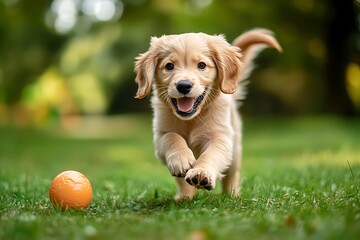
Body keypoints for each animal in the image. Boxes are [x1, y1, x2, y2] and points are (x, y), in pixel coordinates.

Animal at [134, 28, 282, 200]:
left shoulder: (221, 136)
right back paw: (184, 197)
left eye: (202, 65)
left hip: (235, 151)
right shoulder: (160, 134)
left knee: (231, 175)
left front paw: (201, 173)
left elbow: (211, 154)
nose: (183, 86)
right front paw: (181, 159)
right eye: (169, 66)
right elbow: (171, 137)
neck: (192, 119)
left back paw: (232, 195)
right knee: (183, 182)